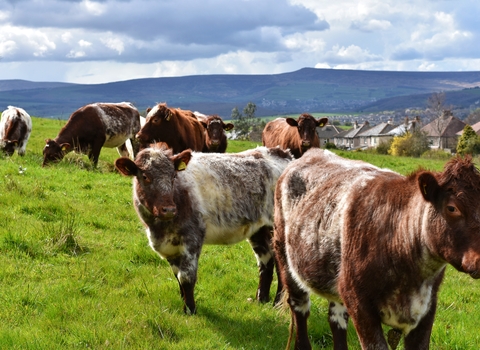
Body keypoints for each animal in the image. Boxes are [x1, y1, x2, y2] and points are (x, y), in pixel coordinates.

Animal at [114, 145, 292, 314]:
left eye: (173, 176)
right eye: (145, 177)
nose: (169, 209)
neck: (159, 229)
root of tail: (283, 153)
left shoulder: (192, 238)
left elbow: (186, 277)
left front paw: (190, 310)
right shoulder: (170, 247)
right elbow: (177, 276)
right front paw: (184, 302)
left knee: (282, 266)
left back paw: (277, 304)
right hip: (259, 229)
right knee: (266, 261)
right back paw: (261, 299)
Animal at [274, 148, 480, 350]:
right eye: (452, 208)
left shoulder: (427, 307)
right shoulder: (359, 303)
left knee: (336, 319)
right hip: (285, 258)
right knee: (300, 308)